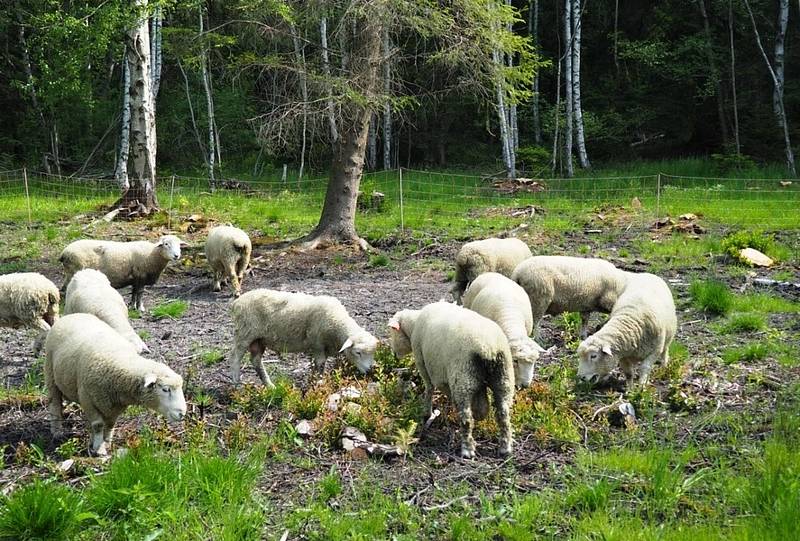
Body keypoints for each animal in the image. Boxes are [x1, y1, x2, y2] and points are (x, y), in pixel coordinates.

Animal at [45, 312, 188, 456]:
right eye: (165, 389)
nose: (182, 414)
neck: (120, 361)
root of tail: (72, 315)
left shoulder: (116, 405)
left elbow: (110, 424)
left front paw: (105, 443)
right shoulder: (88, 399)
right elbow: (98, 425)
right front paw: (99, 449)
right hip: (50, 374)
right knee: (55, 404)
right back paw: (57, 432)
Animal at [228, 288, 378, 386]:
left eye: (372, 353)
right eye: (358, 352)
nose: (369, 370)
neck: (336, 322)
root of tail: (236, 303)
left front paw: (315, 379)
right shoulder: (317, 344)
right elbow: (320, 364)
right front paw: (319, 381)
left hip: (259, 340)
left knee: (255, 360)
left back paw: (269, 385)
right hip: (245, 333)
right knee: (235, 357)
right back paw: (236, 383)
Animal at [386, 300, 512, 456]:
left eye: (392, 333)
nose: (394, 354)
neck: (413, 325)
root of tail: (488, 348)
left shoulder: (425, 365)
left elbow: (429, 389)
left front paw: (427, 413)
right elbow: (480, 407)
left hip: (463, 376)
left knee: (467, 417)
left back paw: (467, 449)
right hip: (503, 377)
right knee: (503, 414)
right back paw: (505, 448)